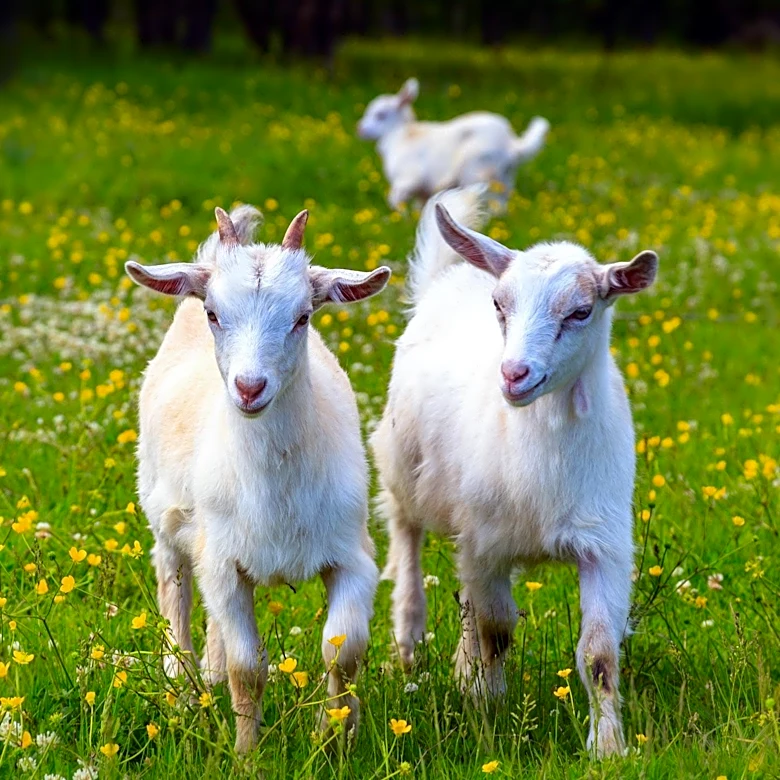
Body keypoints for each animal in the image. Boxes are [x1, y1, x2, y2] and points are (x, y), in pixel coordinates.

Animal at [125, 205, 391, 752]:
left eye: (303, 316)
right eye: (214, 314)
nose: (250, 387)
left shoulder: (352, 555)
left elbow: (345, 652)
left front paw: (337, 736)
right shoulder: (225, 563)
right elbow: (247, 667)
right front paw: (247, 752)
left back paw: (206, 676)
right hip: (166, 523)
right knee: (175, 591)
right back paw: (181, 687)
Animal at [357, 78, 549, 211]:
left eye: (380, 115)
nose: (359, 129)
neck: (400, 135)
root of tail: (512, 143)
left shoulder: (407, 179)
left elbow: (395, 202)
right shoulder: (423, 191)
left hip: (477, 172)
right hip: (504, 177)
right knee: (500, 204)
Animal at [371, 187, 657, 757]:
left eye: (581, 311)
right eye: (500, 306)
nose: (514, 374)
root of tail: (449, 278)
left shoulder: (604, 542)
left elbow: (599, 652)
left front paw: (608, 746)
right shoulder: (488, 543)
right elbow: (496, 629)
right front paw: (490, 705)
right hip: (400, 462)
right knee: (406, 532)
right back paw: (410, 637)